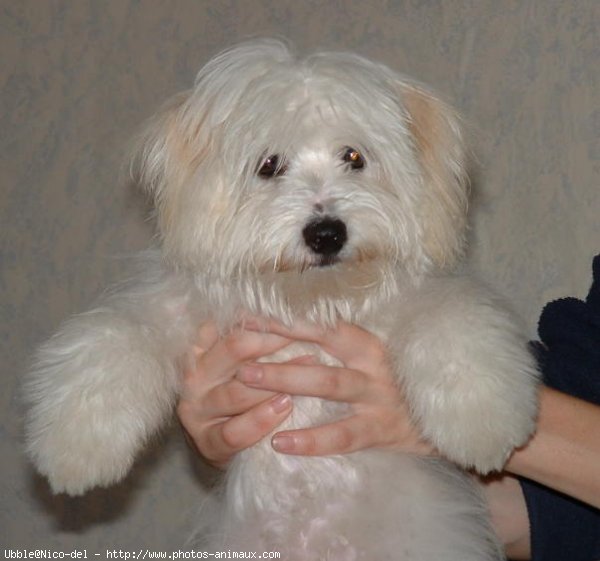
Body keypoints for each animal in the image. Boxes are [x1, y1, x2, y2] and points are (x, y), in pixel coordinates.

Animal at [24, 40, 540, 560]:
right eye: (269, 165)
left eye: (354, 156)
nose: (327, 233)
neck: (306, 304)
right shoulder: (179, 310)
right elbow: (115, 337)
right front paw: (75, 450)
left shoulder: (414, 300)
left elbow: (454, 322)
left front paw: (483, 424)